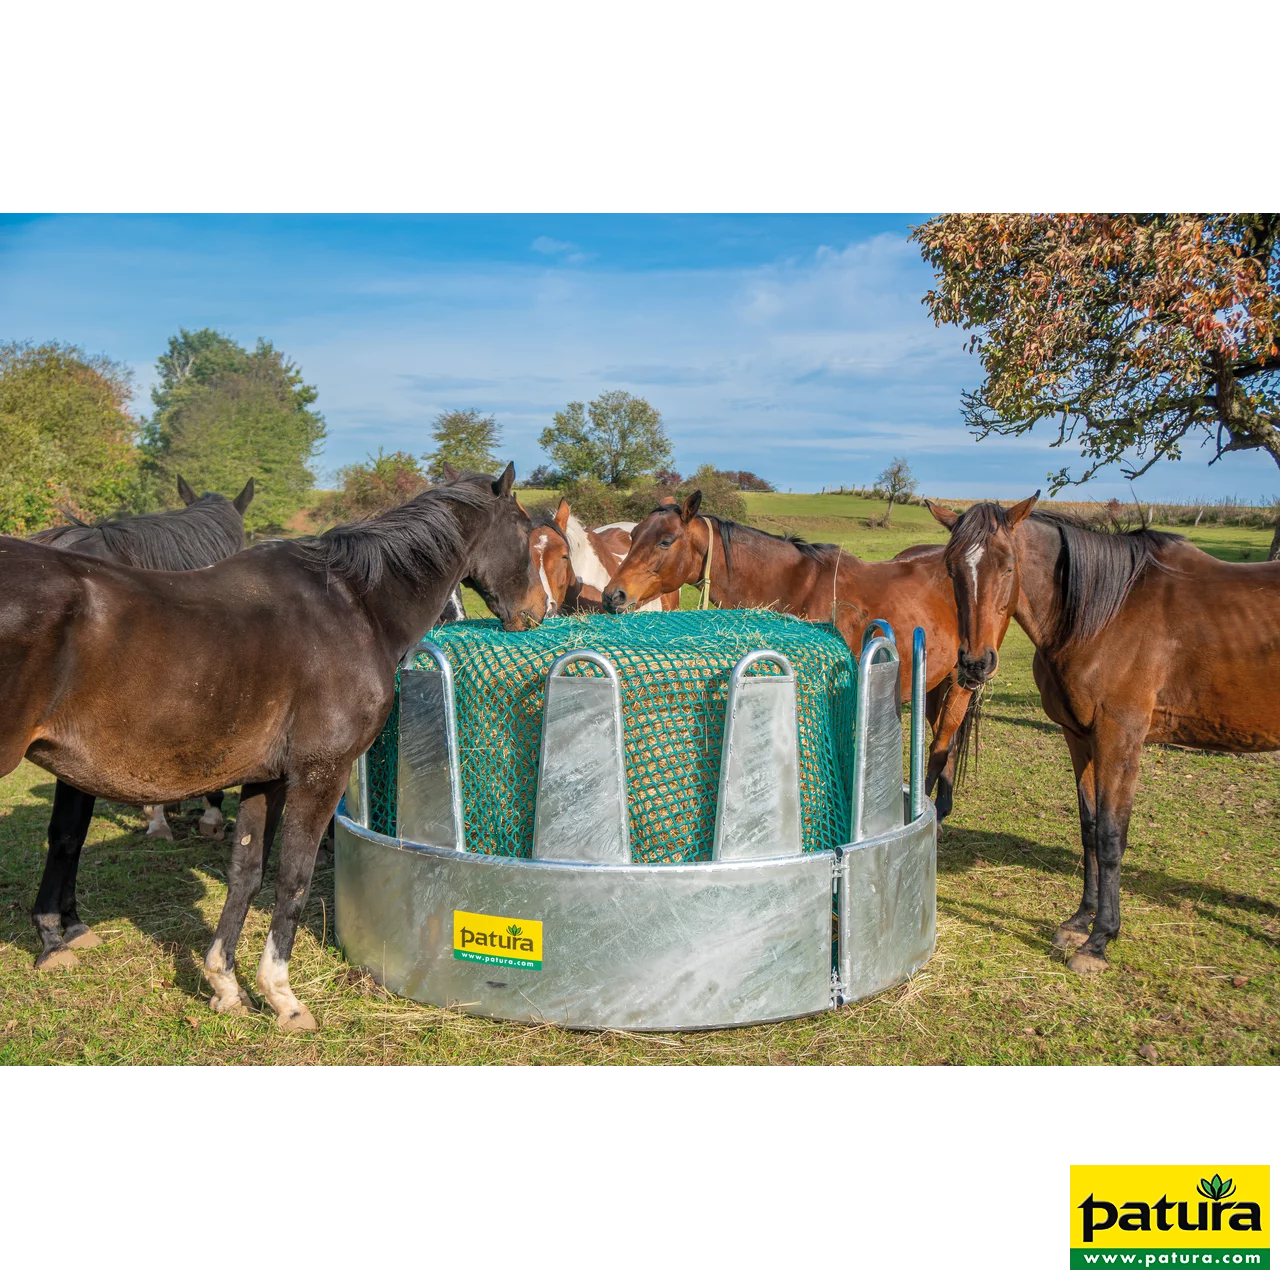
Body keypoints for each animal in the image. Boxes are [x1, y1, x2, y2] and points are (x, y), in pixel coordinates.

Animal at [601, 490, 976, 820]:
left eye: (666, 541)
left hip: (958, 682)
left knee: (944, 741)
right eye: (632, 537)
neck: (798, 585)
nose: (612, 596)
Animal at [929, 494, 1280, 974]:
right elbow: (1089, 828)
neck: (1105, 615)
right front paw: (1080, 921)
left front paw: (1099, 941)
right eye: (951, 569)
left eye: (1007, 566)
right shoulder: (1080, 738)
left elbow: (1112, 837)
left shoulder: (1120, 741)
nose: (975, 664)